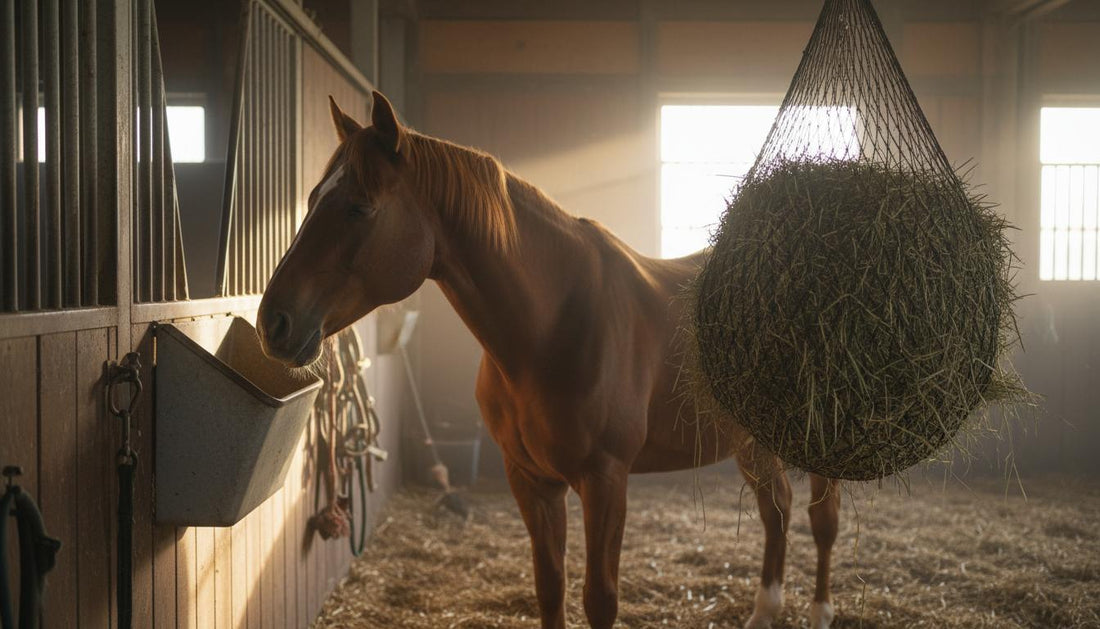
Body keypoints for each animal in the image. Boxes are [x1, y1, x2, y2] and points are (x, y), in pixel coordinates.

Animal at [257, 91, 842, 629]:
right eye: (313, 198)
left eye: (359, 206)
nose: (272, 323)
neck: (550, 328)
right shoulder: (531, 480)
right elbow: (550, 585)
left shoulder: (605, 480)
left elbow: (599, 599)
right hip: (753, 439)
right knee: (777, 510)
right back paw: (764, 612)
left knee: (821, 521)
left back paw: (819, 612)